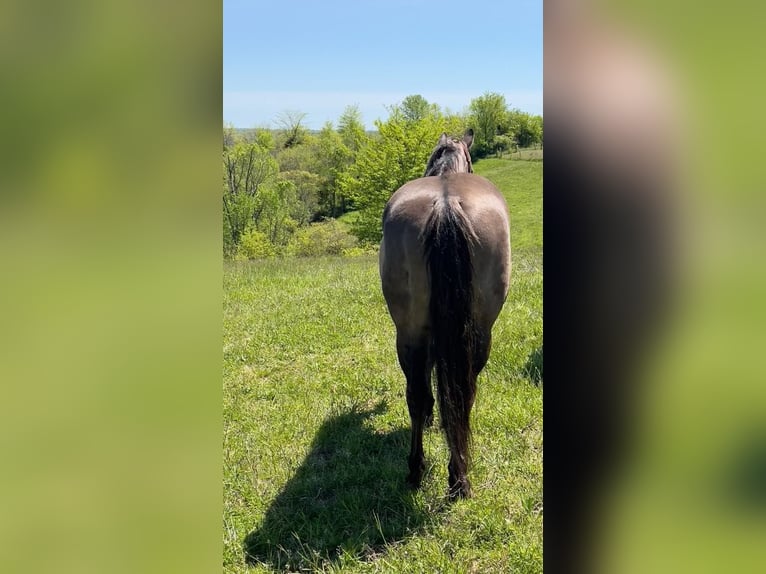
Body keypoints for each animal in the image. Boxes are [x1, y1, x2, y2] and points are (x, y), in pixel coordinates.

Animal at [380, 129, 512, 500]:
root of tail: (446, 204)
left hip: (411, 333)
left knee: (423, 394)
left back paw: (426, 471)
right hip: (475, 333)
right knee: (459, 393)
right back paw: (453, 478)